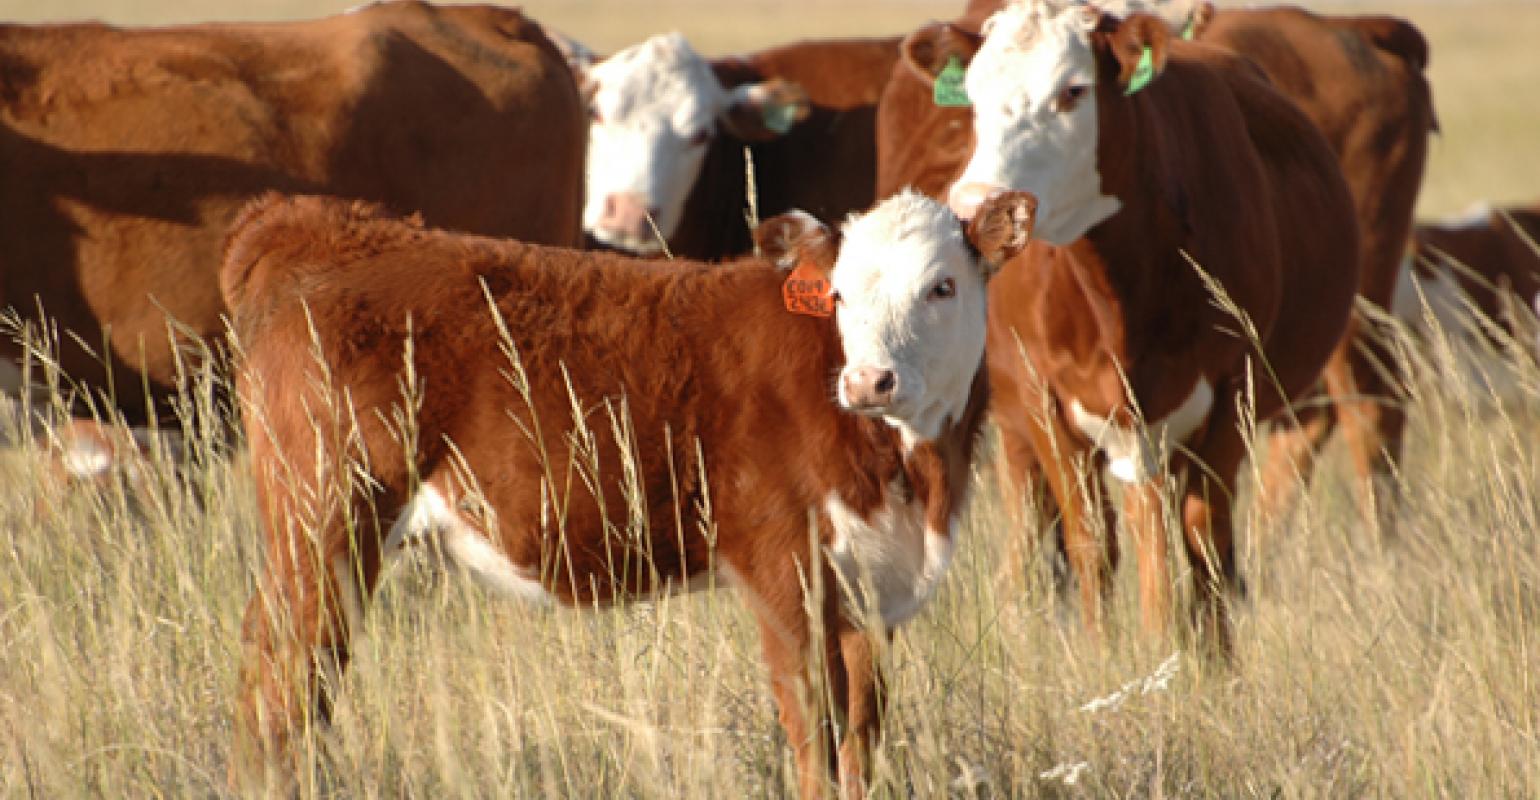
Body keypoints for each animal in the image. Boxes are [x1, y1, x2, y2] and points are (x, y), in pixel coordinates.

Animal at [223, 191, 1041, 795]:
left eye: (943, 286)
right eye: (837, 295)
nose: (870, 381)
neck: (909, 479)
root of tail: (323, 225)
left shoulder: (871, 592)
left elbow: (861, 737)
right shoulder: (785, 571)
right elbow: (815, 724)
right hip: (326, 522)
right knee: (291, 677)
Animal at [899, 1, 1361, 650]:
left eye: (1072, 90)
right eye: (973, 94)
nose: (974, 203)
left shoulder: (1232, 394)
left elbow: (1204, 537)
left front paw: (1206, 659)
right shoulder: (1045, 401)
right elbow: (1092, 540)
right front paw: (1108, 655)